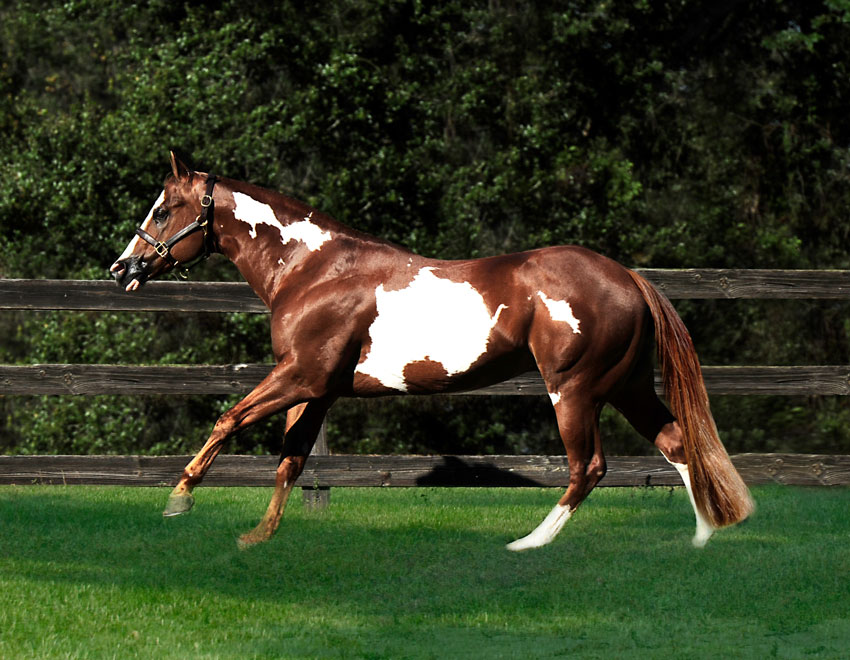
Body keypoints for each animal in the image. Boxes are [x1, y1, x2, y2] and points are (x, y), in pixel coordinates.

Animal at [110, 152, 753, 550]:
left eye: (163, 209)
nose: (123, 268)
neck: (315, 270)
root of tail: (628, 278)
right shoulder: (319, 390)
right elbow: (291, 460)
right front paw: (258, 539)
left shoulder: (300, 375)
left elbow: (229, 419)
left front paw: (178, 499)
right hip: (626, 385)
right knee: (676, 443)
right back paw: (701, 542)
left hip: (574, 390)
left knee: (588, 467)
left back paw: (528, 544)